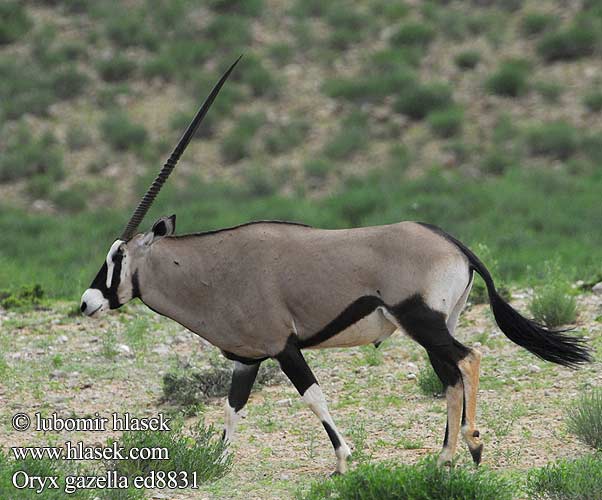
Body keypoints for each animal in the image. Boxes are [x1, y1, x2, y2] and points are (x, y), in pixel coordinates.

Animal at [77, 57, 588, 472]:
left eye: (117, 257)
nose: (86, 302)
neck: (214, 268)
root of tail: (455, 245)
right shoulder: (247, 359)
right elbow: (232, 407)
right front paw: (218, 459)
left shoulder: (283, 346)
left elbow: (313, 396)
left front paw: (343, 459)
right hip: (432, 327)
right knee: (450, 378)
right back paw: (444, 459)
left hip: (422, 321)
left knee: (469, 358)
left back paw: (474, 445)